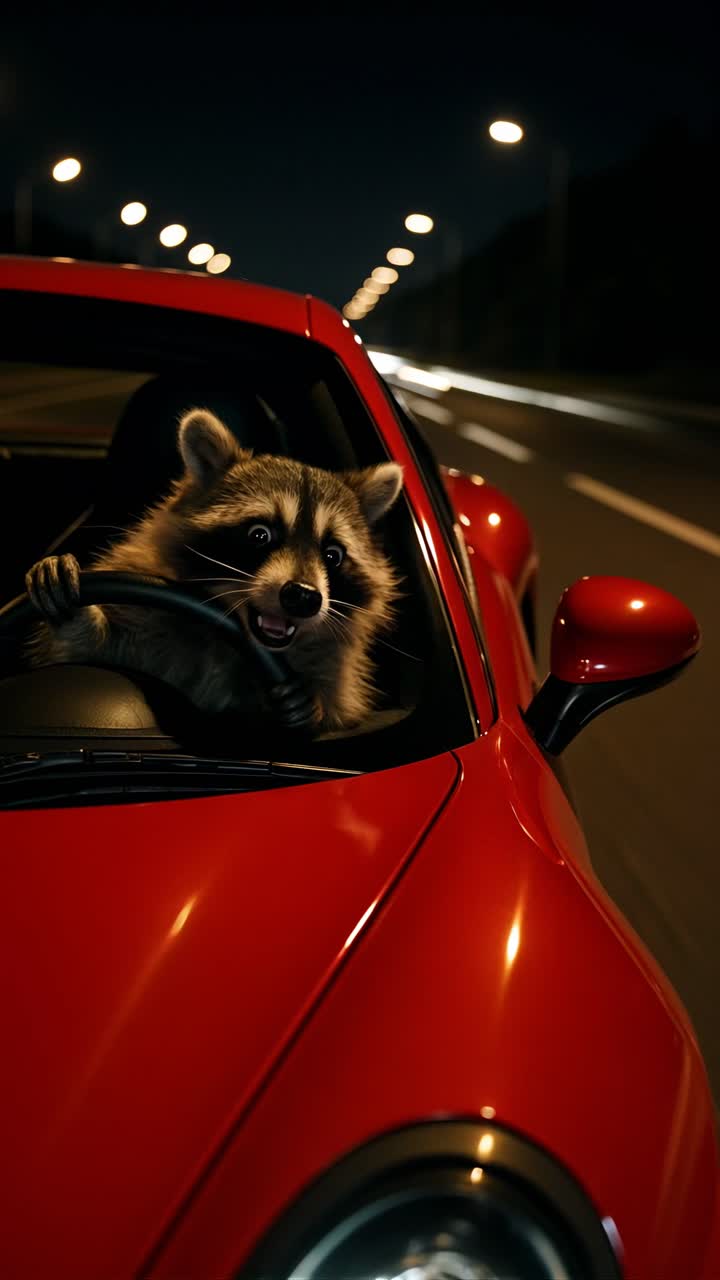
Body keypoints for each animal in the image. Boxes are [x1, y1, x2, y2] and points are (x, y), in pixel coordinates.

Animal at [28, 408, 404, 731]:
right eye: (259, 534)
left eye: (332, 555)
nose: (302, 596)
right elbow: (92, 655)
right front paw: (80, 620)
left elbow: (336, 705)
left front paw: (313, 705)